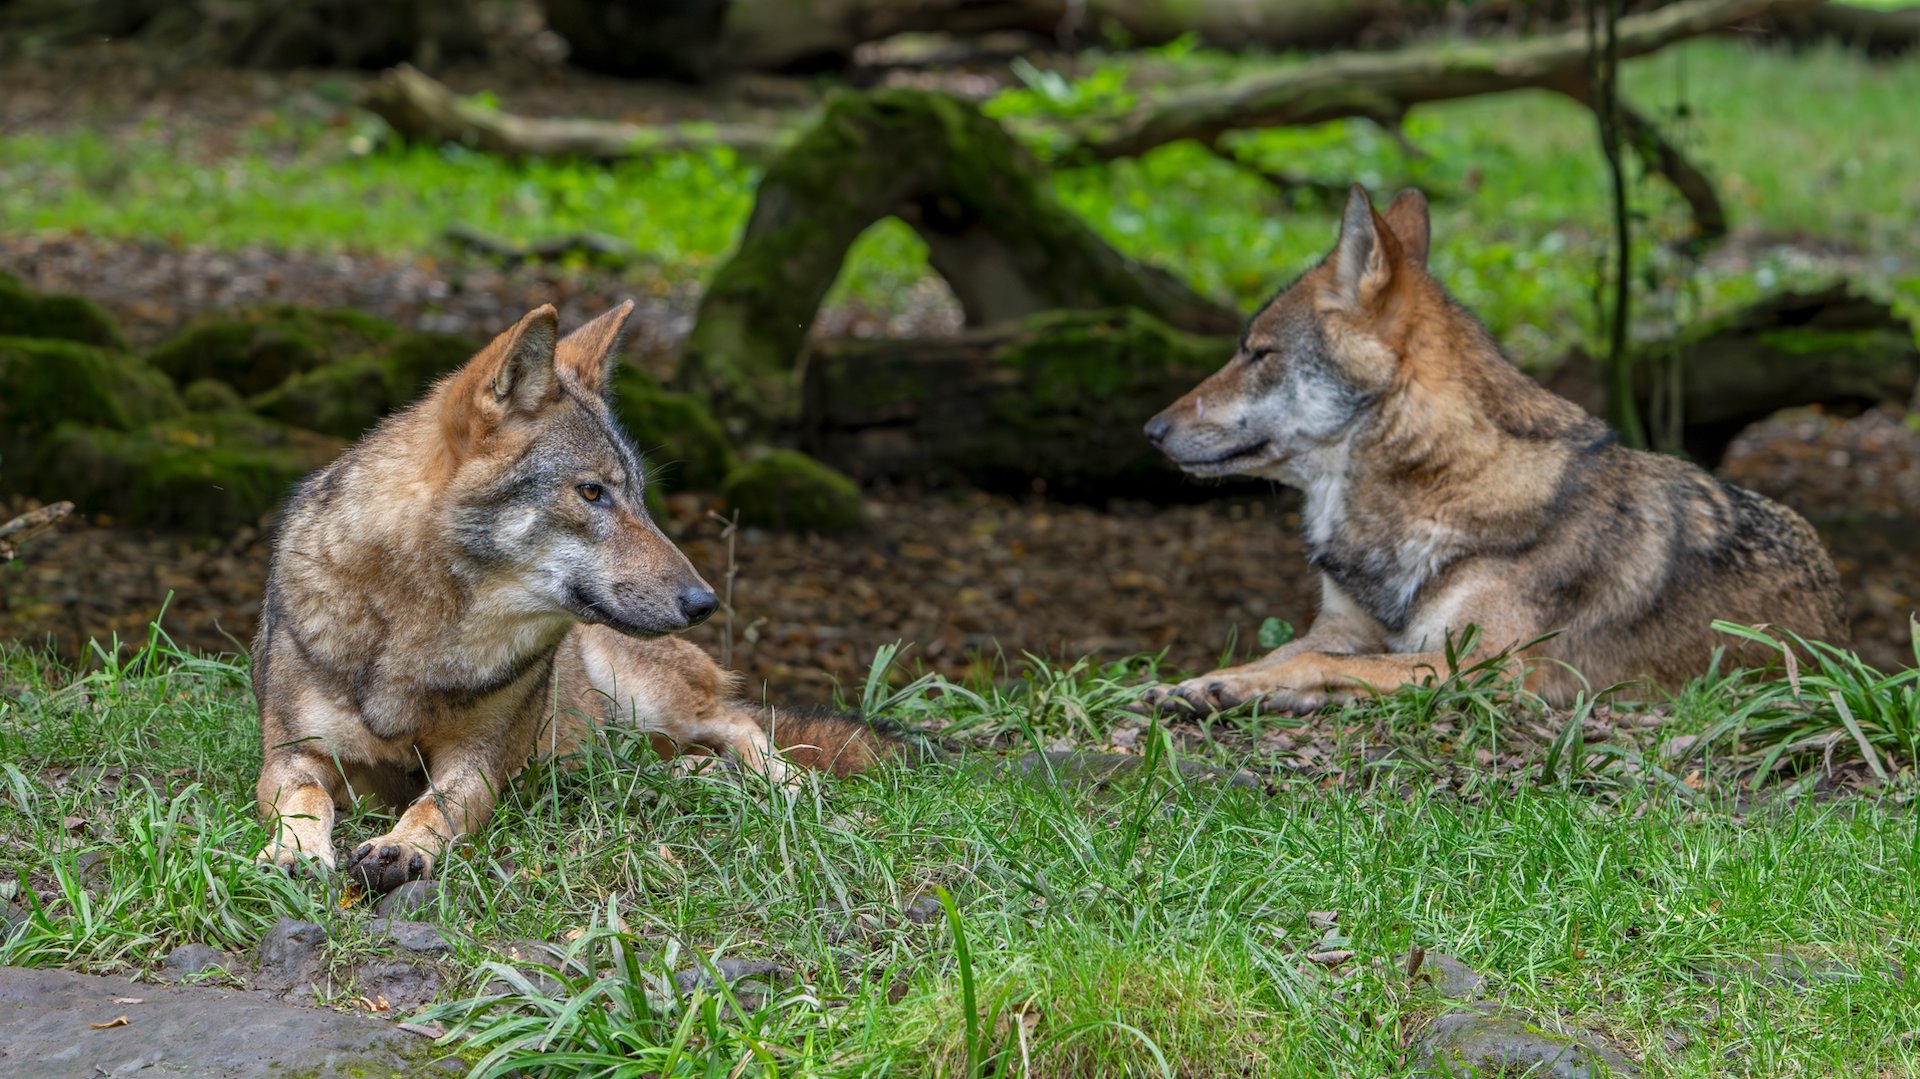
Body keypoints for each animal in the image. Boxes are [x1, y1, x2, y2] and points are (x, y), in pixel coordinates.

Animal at [253, 302, 895, 892]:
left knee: (741, 724)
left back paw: (787, 783)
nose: (705, 602)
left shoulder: (478, 763)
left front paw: (399, 847)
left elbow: (436, 804)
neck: (419, 634)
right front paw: (294, 852)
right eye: (591, 492)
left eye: (639, 495)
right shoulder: (292, 754)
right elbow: (306, 798)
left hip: (647, 698)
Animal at [1141, 185, 1847, 715]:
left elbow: (1322, 662)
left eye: (1258, 353)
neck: (1433, 488)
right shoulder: (1344, 627)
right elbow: (1284, 653)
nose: (1151, 428)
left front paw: (1228, 687)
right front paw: (1200, 682)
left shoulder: (1489, 666)